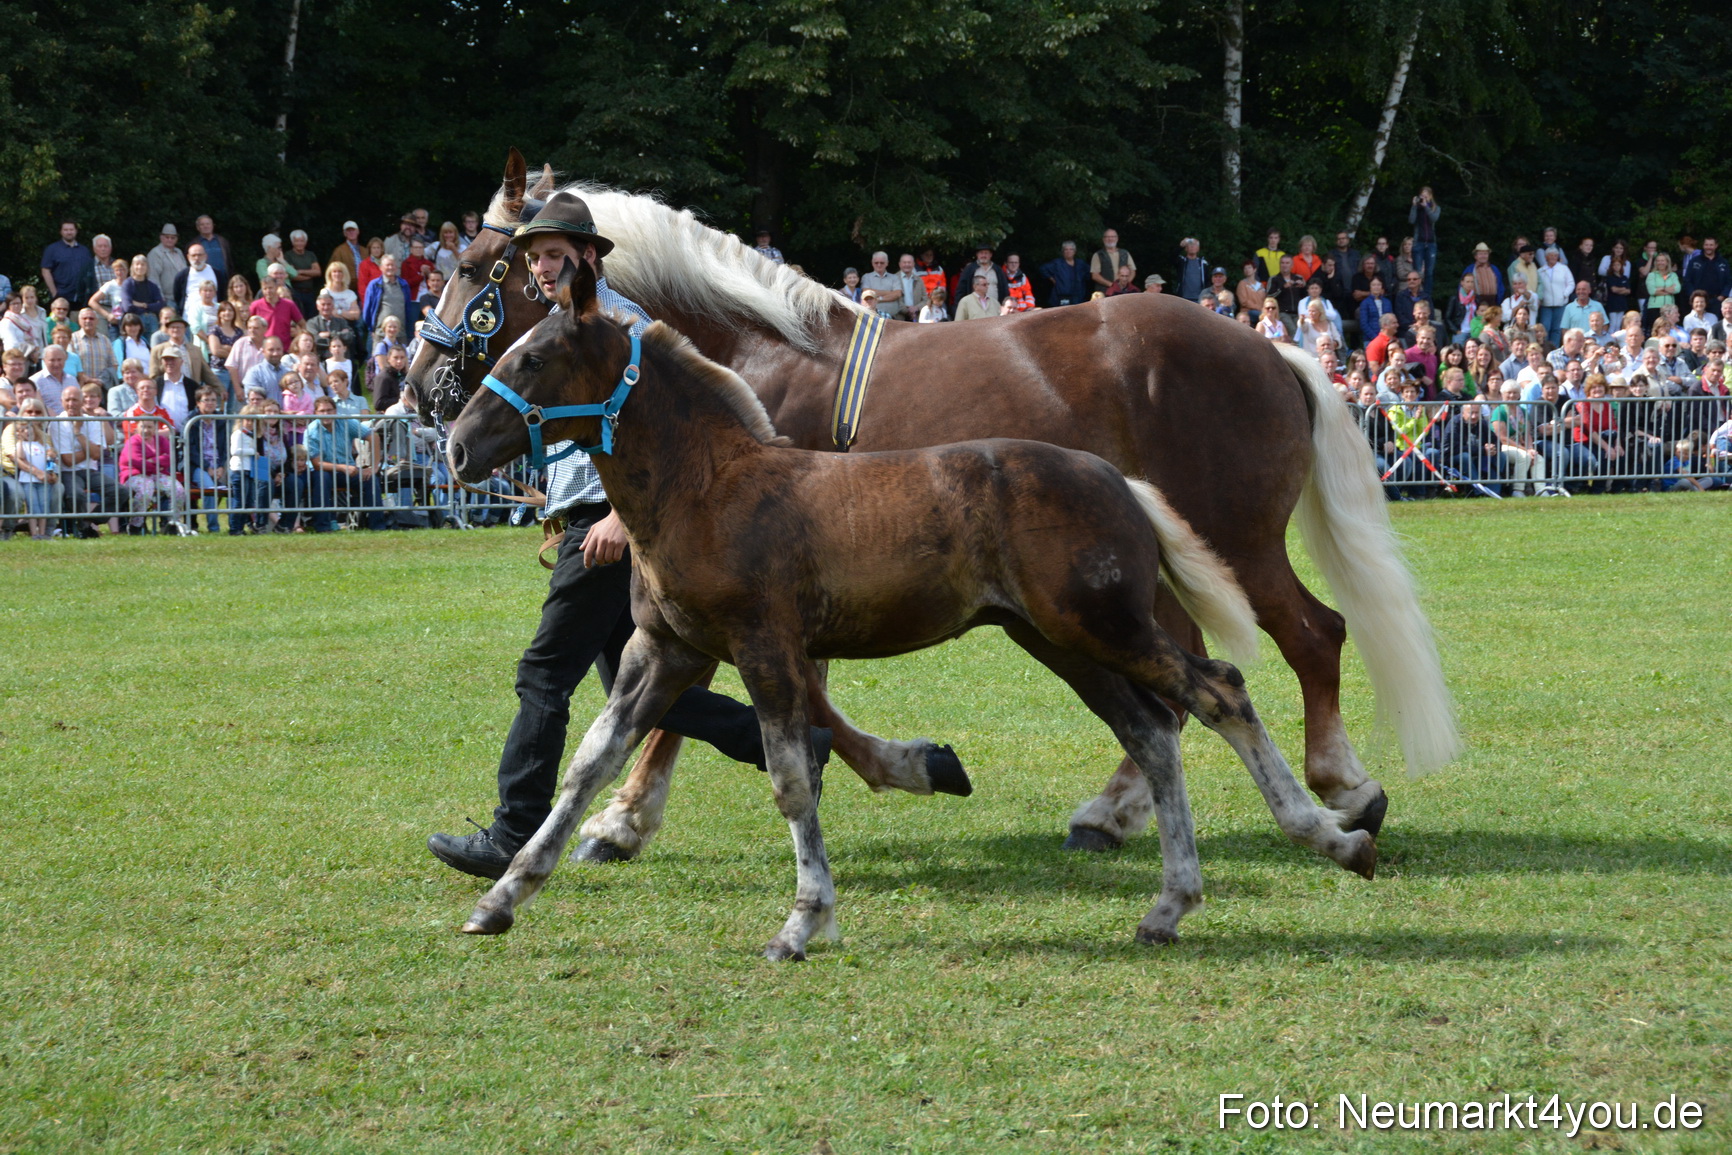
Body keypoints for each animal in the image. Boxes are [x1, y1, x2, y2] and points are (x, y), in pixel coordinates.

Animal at [411, 150, 1456, 863]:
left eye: (471, 264)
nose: (423, 388)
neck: (752, 357)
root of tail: (1270, 348)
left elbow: (697, 706)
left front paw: (622, 819)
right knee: (1185, 673)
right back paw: (1113, 809)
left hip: (1234, 543)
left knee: (1309, 635)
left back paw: (1343, 789)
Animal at [446, 259, 1377, 957]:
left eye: (532, 356)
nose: (453, 445)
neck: (709, 483)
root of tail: (1121, 482)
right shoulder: (663, 648)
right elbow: (590, 761)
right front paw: (503, 894)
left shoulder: (764, 645)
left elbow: (790, 776)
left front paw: (802, 920)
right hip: (1062, 640)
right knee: (1154, 730)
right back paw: (1169, 900)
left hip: (1105, 624)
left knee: (1224, 686)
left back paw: (1337, 829)